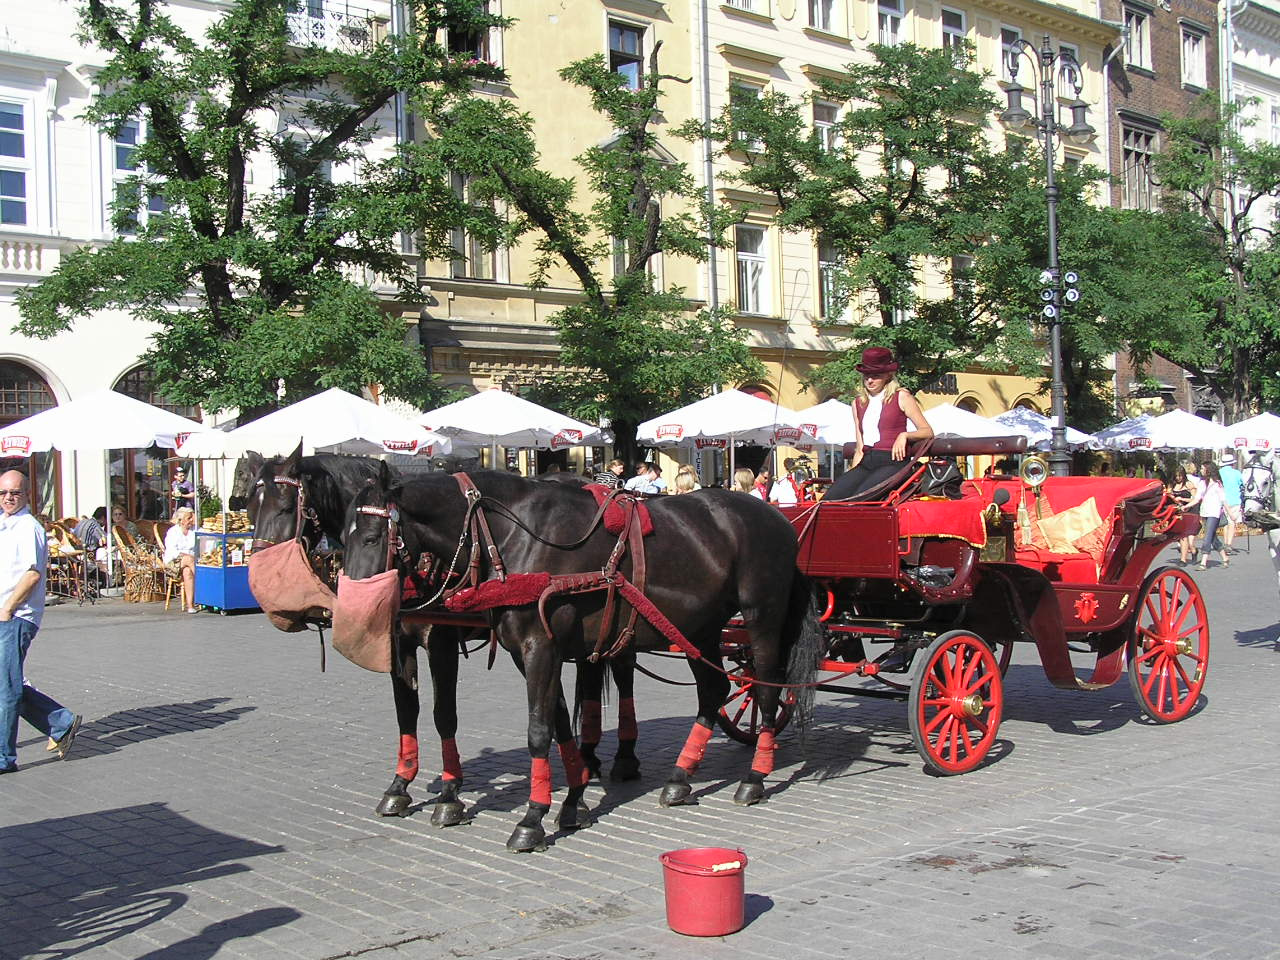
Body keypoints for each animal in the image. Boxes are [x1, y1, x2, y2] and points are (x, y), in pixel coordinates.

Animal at [244, 448, 640, 829]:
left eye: (286, 506)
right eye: (248, 506)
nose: (262, 577)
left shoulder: (442, 644)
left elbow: (443, 715)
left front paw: (450, 795)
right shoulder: (399, 644)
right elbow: (406, 712)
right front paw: (399, 785)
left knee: (621, 675)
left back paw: (622, 756)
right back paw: (588, 759)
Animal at [340, 471, 819, 855]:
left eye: (371, 538)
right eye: (341, 537)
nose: (352, 614)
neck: (514, 533)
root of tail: (777, 519)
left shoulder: (536, 648)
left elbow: (536, 733)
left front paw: (531, 818)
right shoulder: (530, 653)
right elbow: (559, 726)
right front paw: (572, 801)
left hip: (761, 620)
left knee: (766, 690)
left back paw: (754, 777)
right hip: (700, 628)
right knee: (713, 692)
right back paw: (681, 777)